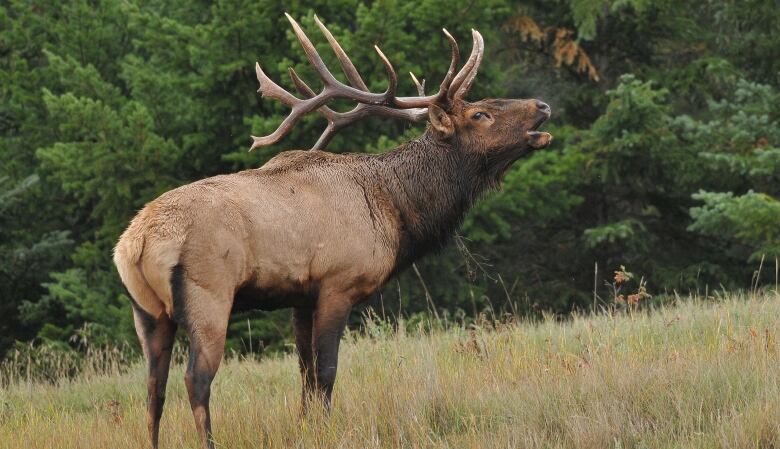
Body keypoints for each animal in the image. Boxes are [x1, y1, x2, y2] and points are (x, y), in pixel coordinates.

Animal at [114, 13, 556, 448]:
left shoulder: (300, 296)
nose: (543, 104)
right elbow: (326, 371)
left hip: (147, 311)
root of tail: (136, 243)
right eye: (480, 114)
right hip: (209, 293)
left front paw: (304, 428)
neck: (395, 211)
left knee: (154, 388)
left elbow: (304, 373)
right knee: (196, 379)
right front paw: (325, 430)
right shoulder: (337, 283)